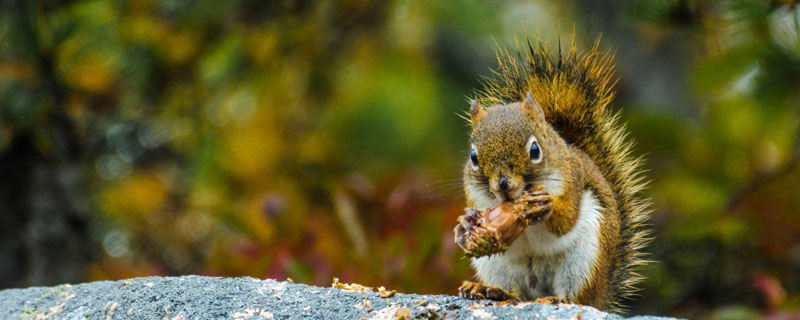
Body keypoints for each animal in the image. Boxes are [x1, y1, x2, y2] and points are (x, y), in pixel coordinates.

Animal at [454, 38, 652, 312]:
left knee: (578, 296)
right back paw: (490, 290)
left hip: (585, 257)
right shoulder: (475, 195)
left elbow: (566, 220)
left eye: (535, 150)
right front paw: (466, 222)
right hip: (495, 266)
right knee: (515, 292)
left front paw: (546, 205)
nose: (503, 185)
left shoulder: (572, 181)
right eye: (474, 157)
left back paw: (560, 298)